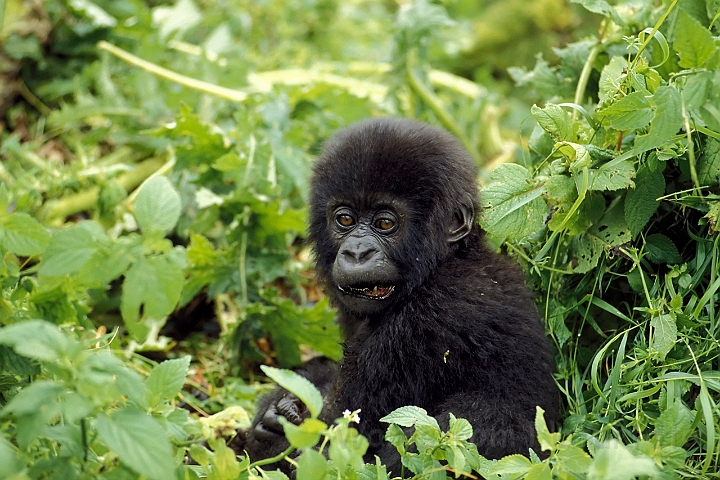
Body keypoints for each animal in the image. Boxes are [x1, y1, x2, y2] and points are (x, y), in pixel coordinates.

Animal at [243, 117, 556, 472]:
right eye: (345, 219)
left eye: (384, 223)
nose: (356, 252)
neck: (446, 262)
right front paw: (276, 408)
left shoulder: (425, 321)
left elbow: (334, 445)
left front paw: (272, 433)